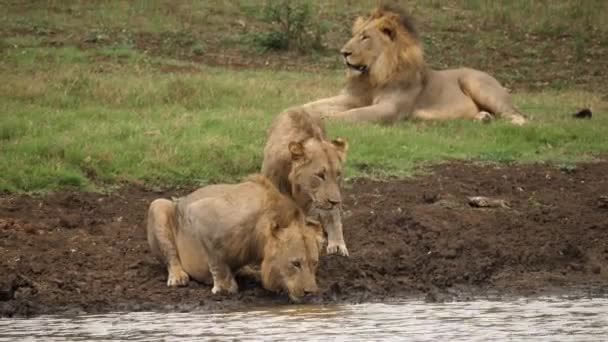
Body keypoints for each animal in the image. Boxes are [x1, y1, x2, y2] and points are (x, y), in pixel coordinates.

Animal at [145, 175, 326, 300]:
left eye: (315, 263)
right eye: (296, 263)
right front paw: (224, 288)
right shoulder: (199, 212)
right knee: (171, 257)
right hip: (158, 205)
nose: (310, 292)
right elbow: (217, 260)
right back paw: (178, 277)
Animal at [300, 4, 528, 125]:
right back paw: (483, 118)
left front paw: (324, 119)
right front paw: (298, 111)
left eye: (365, 37)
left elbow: (353, 114)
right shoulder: (351, 97)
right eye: (355, 35)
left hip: (477, 84)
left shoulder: (390, 108)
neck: (374, 75)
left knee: (519, 115)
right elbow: (313, 104)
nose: (343, 53)